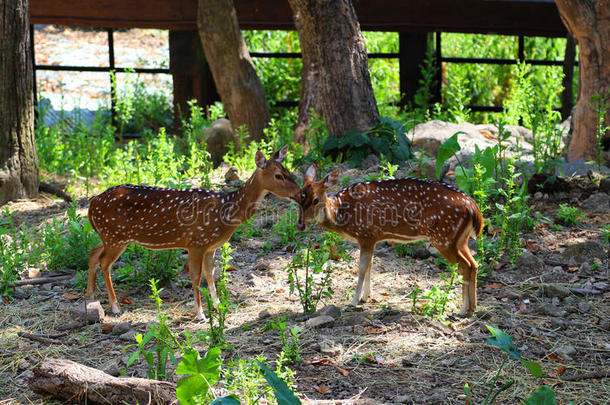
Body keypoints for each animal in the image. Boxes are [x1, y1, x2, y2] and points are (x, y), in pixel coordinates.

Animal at [86, 145, 298, 318]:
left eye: (289, 171)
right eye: (278, 175)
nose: (299, 193)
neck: (225, 213)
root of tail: (92, 203)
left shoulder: (211, 246)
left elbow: (210, 274)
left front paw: (218, 306)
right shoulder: (196, 242)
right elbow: (196, 276)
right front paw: (201, 313)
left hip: (108, 236)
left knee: (93, 252)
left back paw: (91, 296)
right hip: (116, 236)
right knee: (104, 262)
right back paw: (115, 306)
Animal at [292, 164, 482, 316]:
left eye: (316, 199)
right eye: (297, 198)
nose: (300, 225)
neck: (340, 214)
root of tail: (474, 208)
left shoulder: (366, 234)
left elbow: (362, 268)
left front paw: (353, 302)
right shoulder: (372, 238)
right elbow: (370, 266)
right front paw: (366, 297)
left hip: (443, 237)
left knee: (464, 266)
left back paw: (463, 310)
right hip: (459, 239)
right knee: (473, 264)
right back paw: (473, 308)